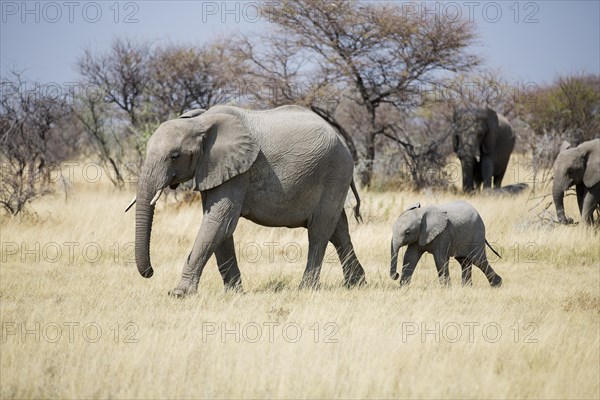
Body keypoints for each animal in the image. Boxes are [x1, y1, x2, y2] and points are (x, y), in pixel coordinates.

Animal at [126, 104, 366, 296]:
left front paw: (179, 293)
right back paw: (356, 284)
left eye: (175, 156)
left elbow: (218, 222)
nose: (150, 272)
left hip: (334, 172)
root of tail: (343, 141)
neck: (200, 122)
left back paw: (306, 289)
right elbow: (221, 228)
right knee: (338, 229)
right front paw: (235, 293)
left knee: (319, 230)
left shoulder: (238, 172)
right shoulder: (215, 170)